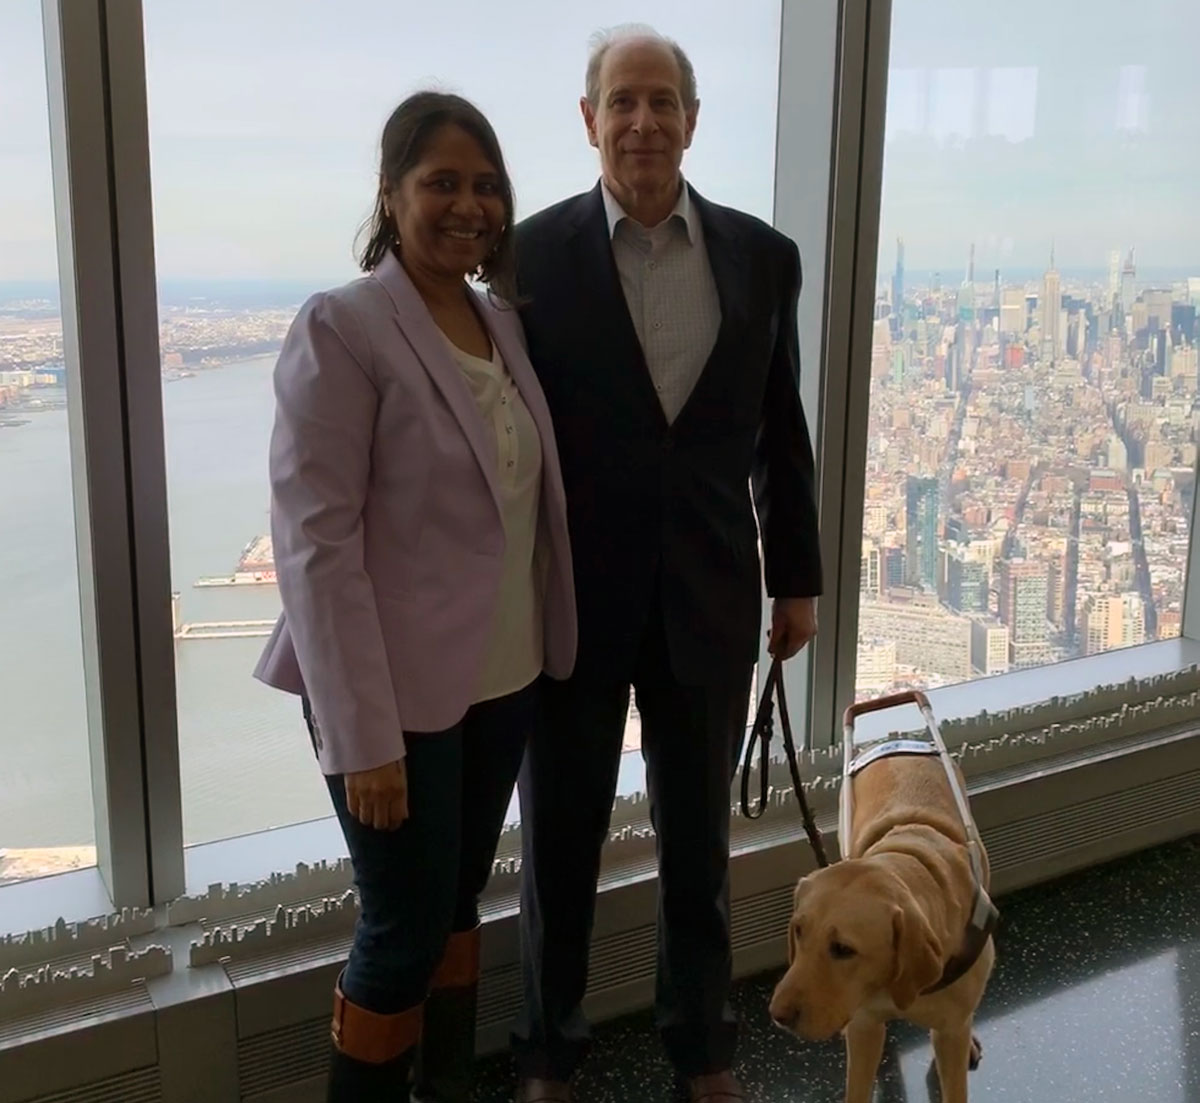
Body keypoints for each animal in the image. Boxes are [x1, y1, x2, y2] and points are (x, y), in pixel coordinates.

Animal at [772, 691, 998, 1103]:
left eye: (843, 949)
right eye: (798, 931)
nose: (777, 1015)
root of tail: (898, 742)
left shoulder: (949, 1031)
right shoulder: (864, 1027)